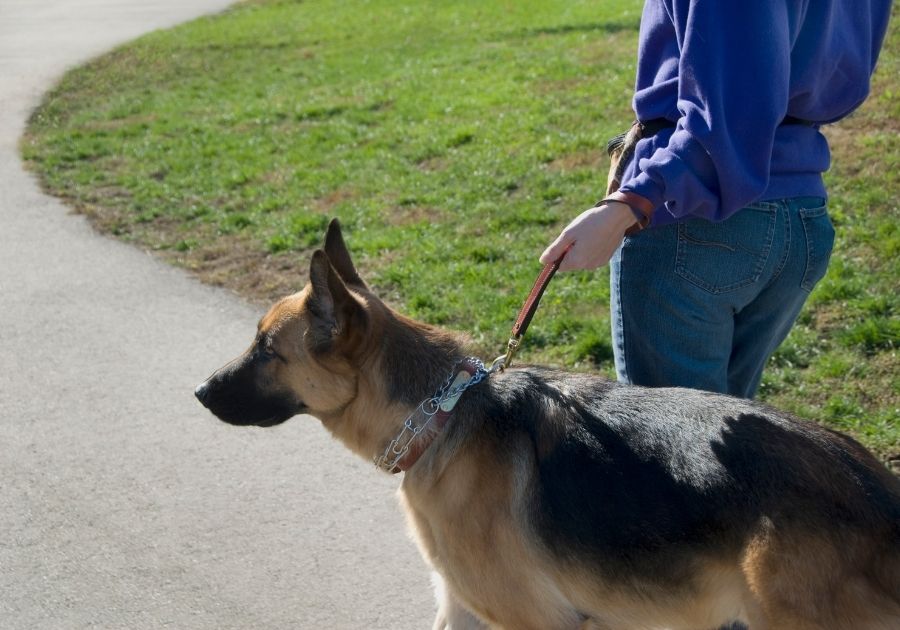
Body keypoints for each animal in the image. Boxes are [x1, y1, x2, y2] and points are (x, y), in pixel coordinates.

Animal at [195, 220, 900, 628]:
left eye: (265, 349)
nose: (198, 392)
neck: (440, 416)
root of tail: (874, 491)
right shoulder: (462, 607)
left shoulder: (530, 621)